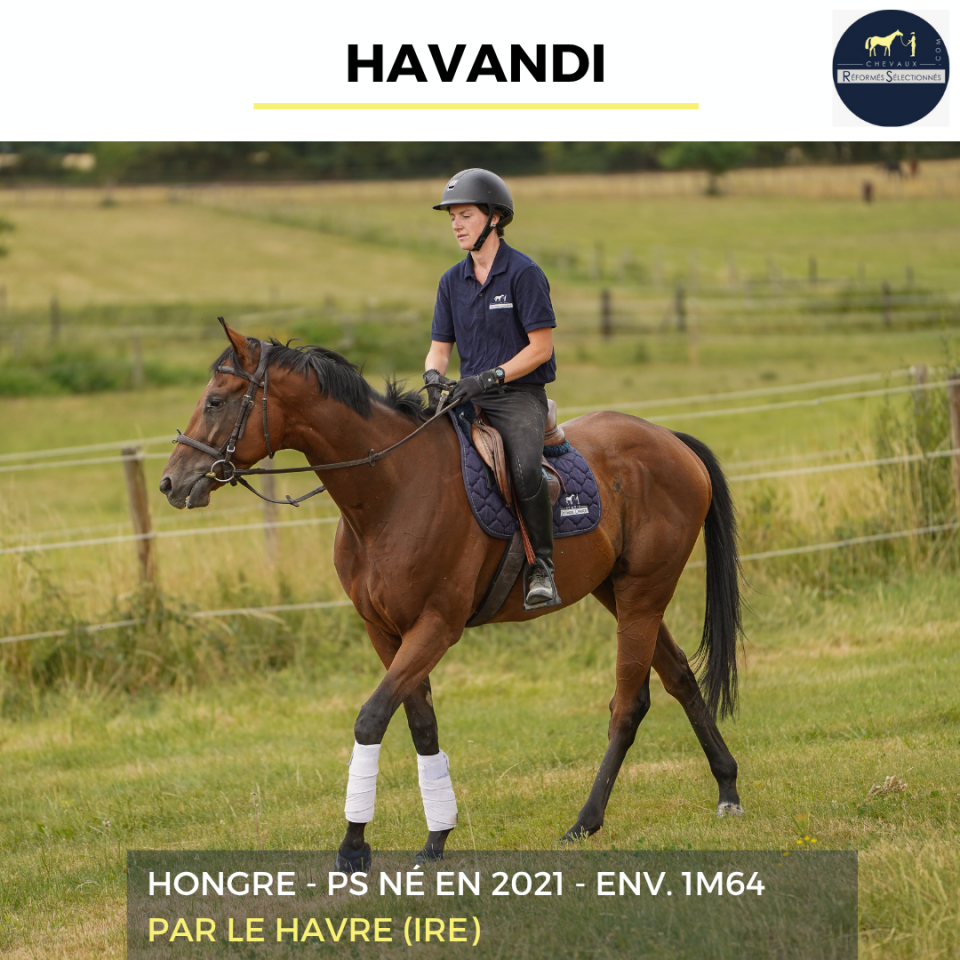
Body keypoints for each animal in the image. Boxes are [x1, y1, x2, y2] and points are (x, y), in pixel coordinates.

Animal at [160, 322, 745, 867]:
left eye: (216, 401)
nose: (170, 483)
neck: (391, 491)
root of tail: (670, 439)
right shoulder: (385, 632)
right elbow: (421, 725)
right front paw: (437, 836)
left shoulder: (436, 627)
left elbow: (372, 718)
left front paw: (354, 845)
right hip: (619, 592)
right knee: (680, 678)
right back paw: (727, 789)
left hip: (644, 593)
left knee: (628, 705)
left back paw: (585, 822)